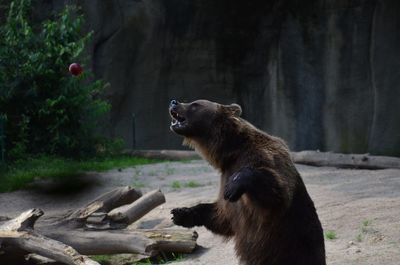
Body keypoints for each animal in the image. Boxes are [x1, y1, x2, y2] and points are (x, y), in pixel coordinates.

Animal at [168, 99, 324, 264]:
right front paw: (181, 213)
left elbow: (278, 193)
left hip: (293, 250)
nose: (174, 102)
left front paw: (233, 186)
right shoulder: (226, 173)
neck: (231, 151)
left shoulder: (263, 156)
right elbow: (222, 216)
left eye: (195, 104)